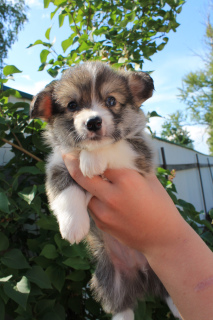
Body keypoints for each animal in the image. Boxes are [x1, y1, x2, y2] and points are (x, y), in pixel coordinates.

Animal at [30, 61, 181, 318]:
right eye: (72, 105)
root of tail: (143, 276)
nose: (93, 122)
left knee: (172, 293)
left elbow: (116, 146)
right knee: (121, 307)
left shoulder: (140, 155)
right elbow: (65, 192)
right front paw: (72, 227)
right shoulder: (57, 165)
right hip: (110, 281)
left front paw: (92, 160)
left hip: (167, 271)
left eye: (111, 101)